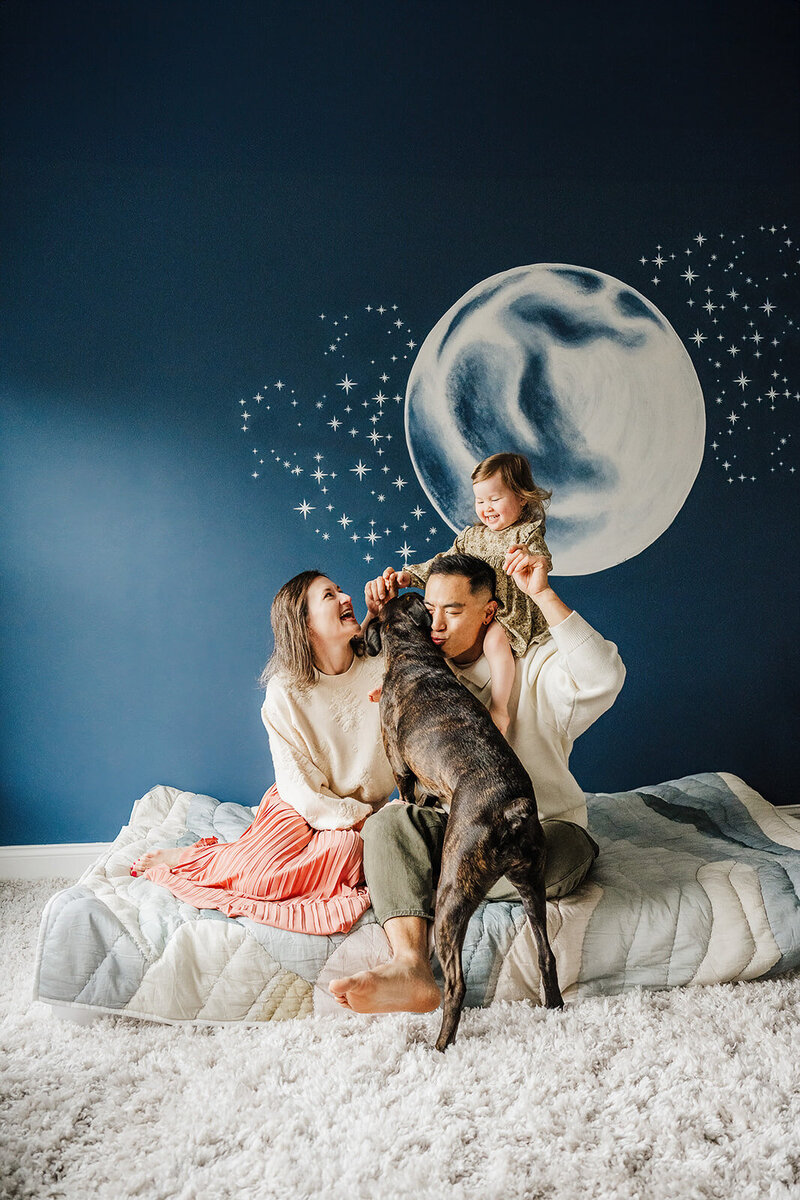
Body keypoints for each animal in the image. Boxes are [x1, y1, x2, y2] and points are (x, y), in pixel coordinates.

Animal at [364, 590, 563, 1051]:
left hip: (451, 895)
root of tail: (511, 810)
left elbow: (407, 793)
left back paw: (440, 1046)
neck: (411, 654)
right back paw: (555, 1009)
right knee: (546, 954)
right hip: (532, 885)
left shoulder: (400, 767)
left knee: (455, 986)